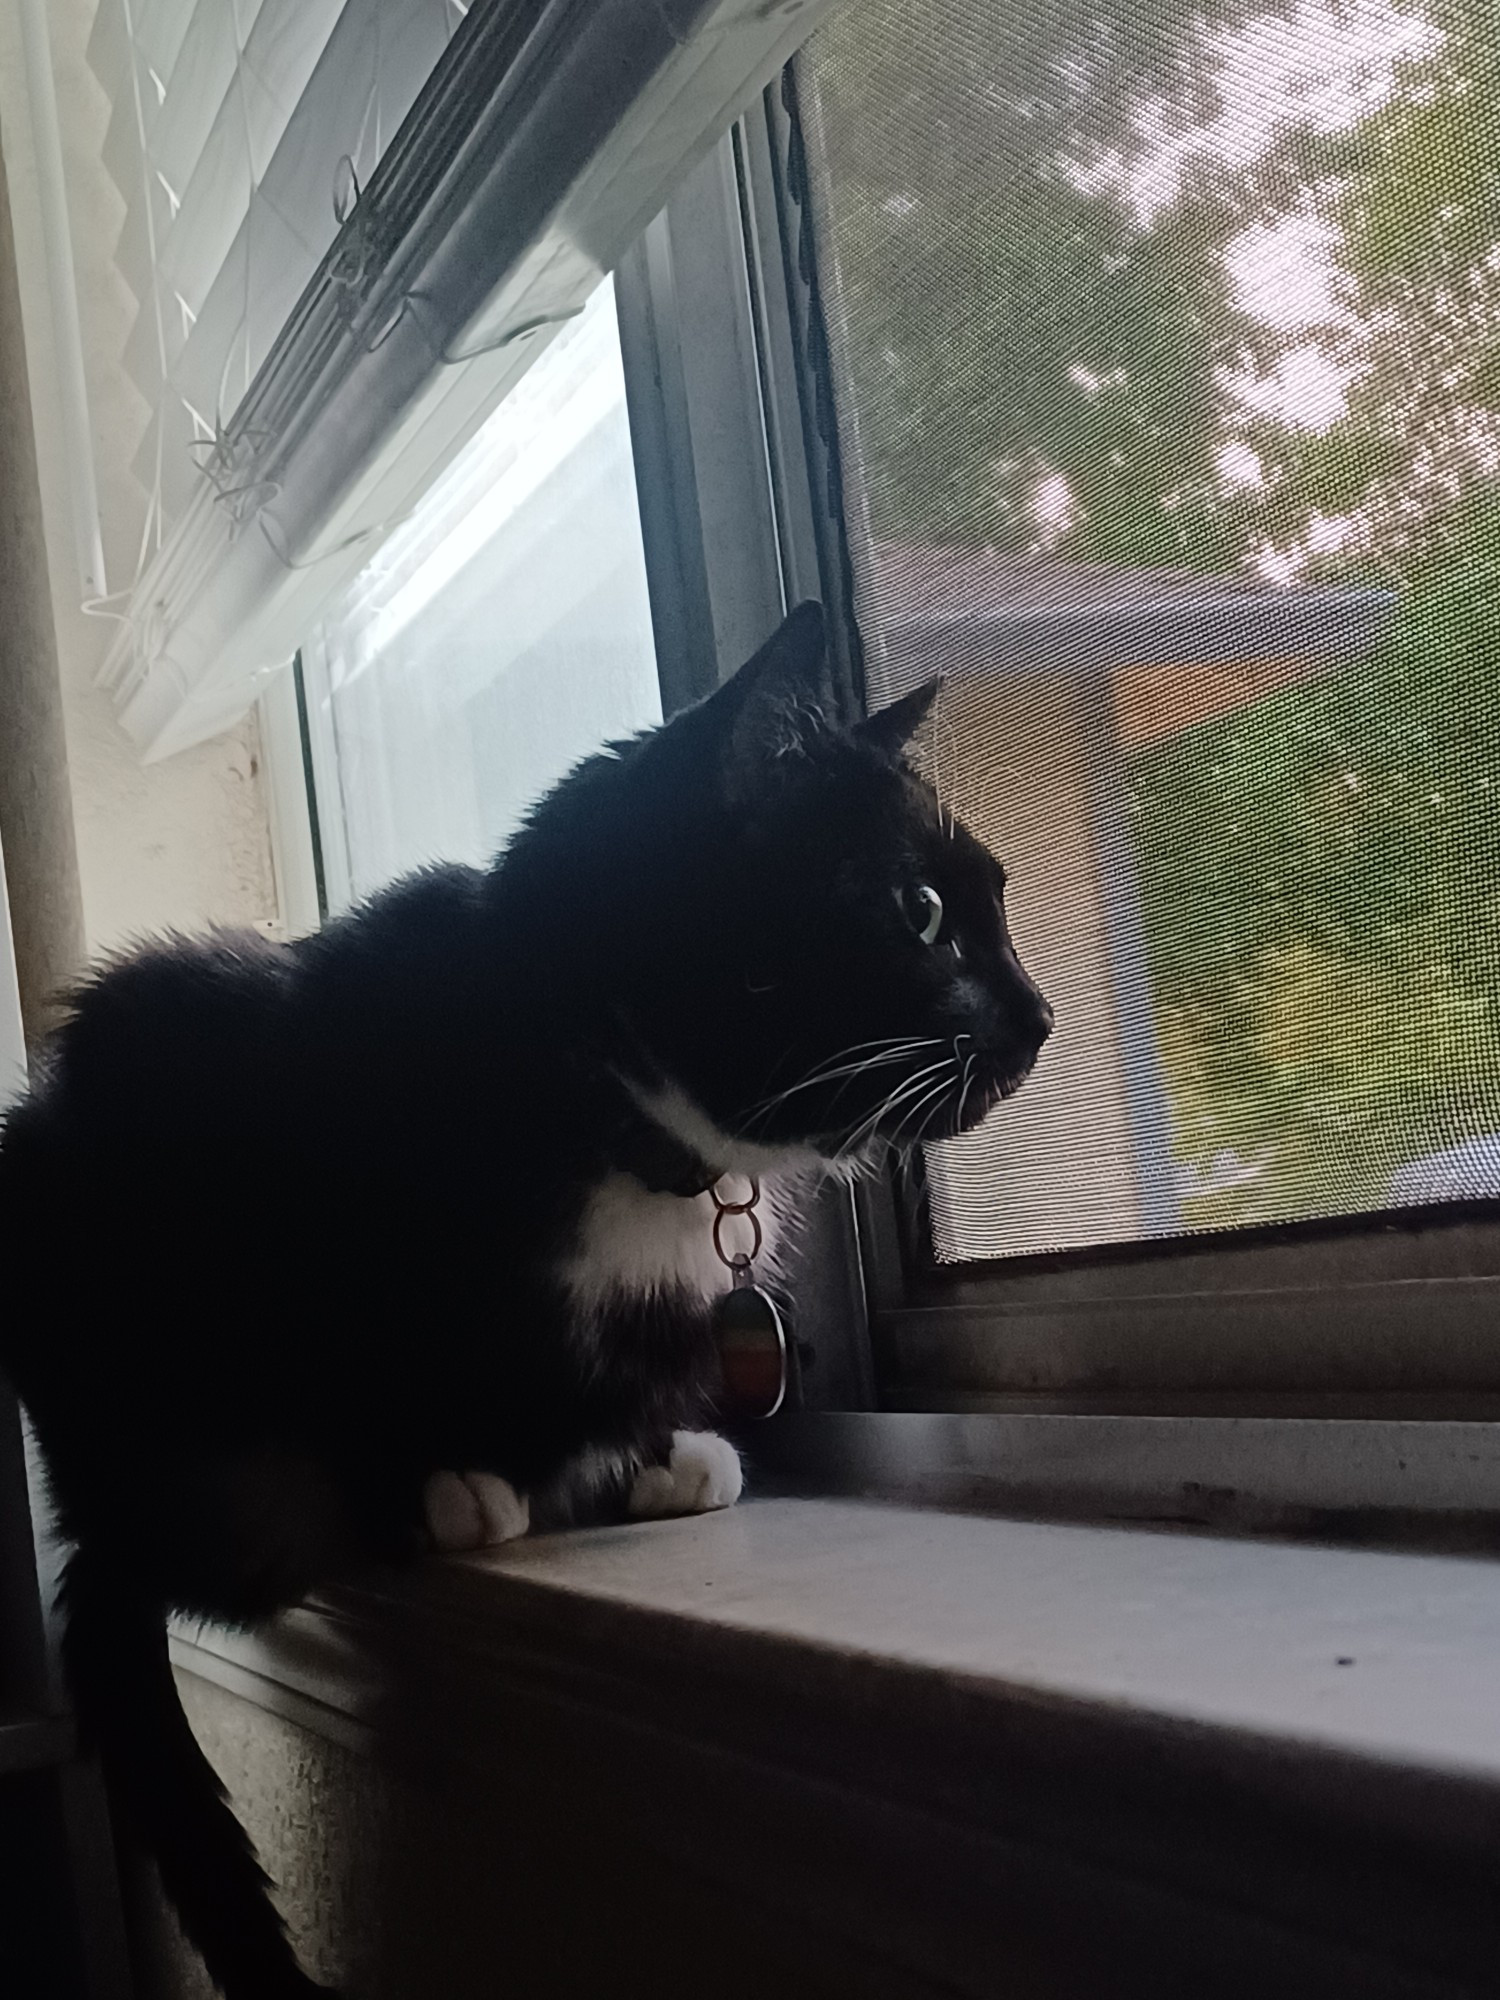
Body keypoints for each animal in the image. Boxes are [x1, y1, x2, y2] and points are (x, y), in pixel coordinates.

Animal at [2, 600, 1056, 1992]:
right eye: (922, 910)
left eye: (991, 905)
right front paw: (449, 1484)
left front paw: (655, 1456)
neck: (620, 1111)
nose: (1040, 1016)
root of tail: (92, 1519)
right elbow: (366, 1355)